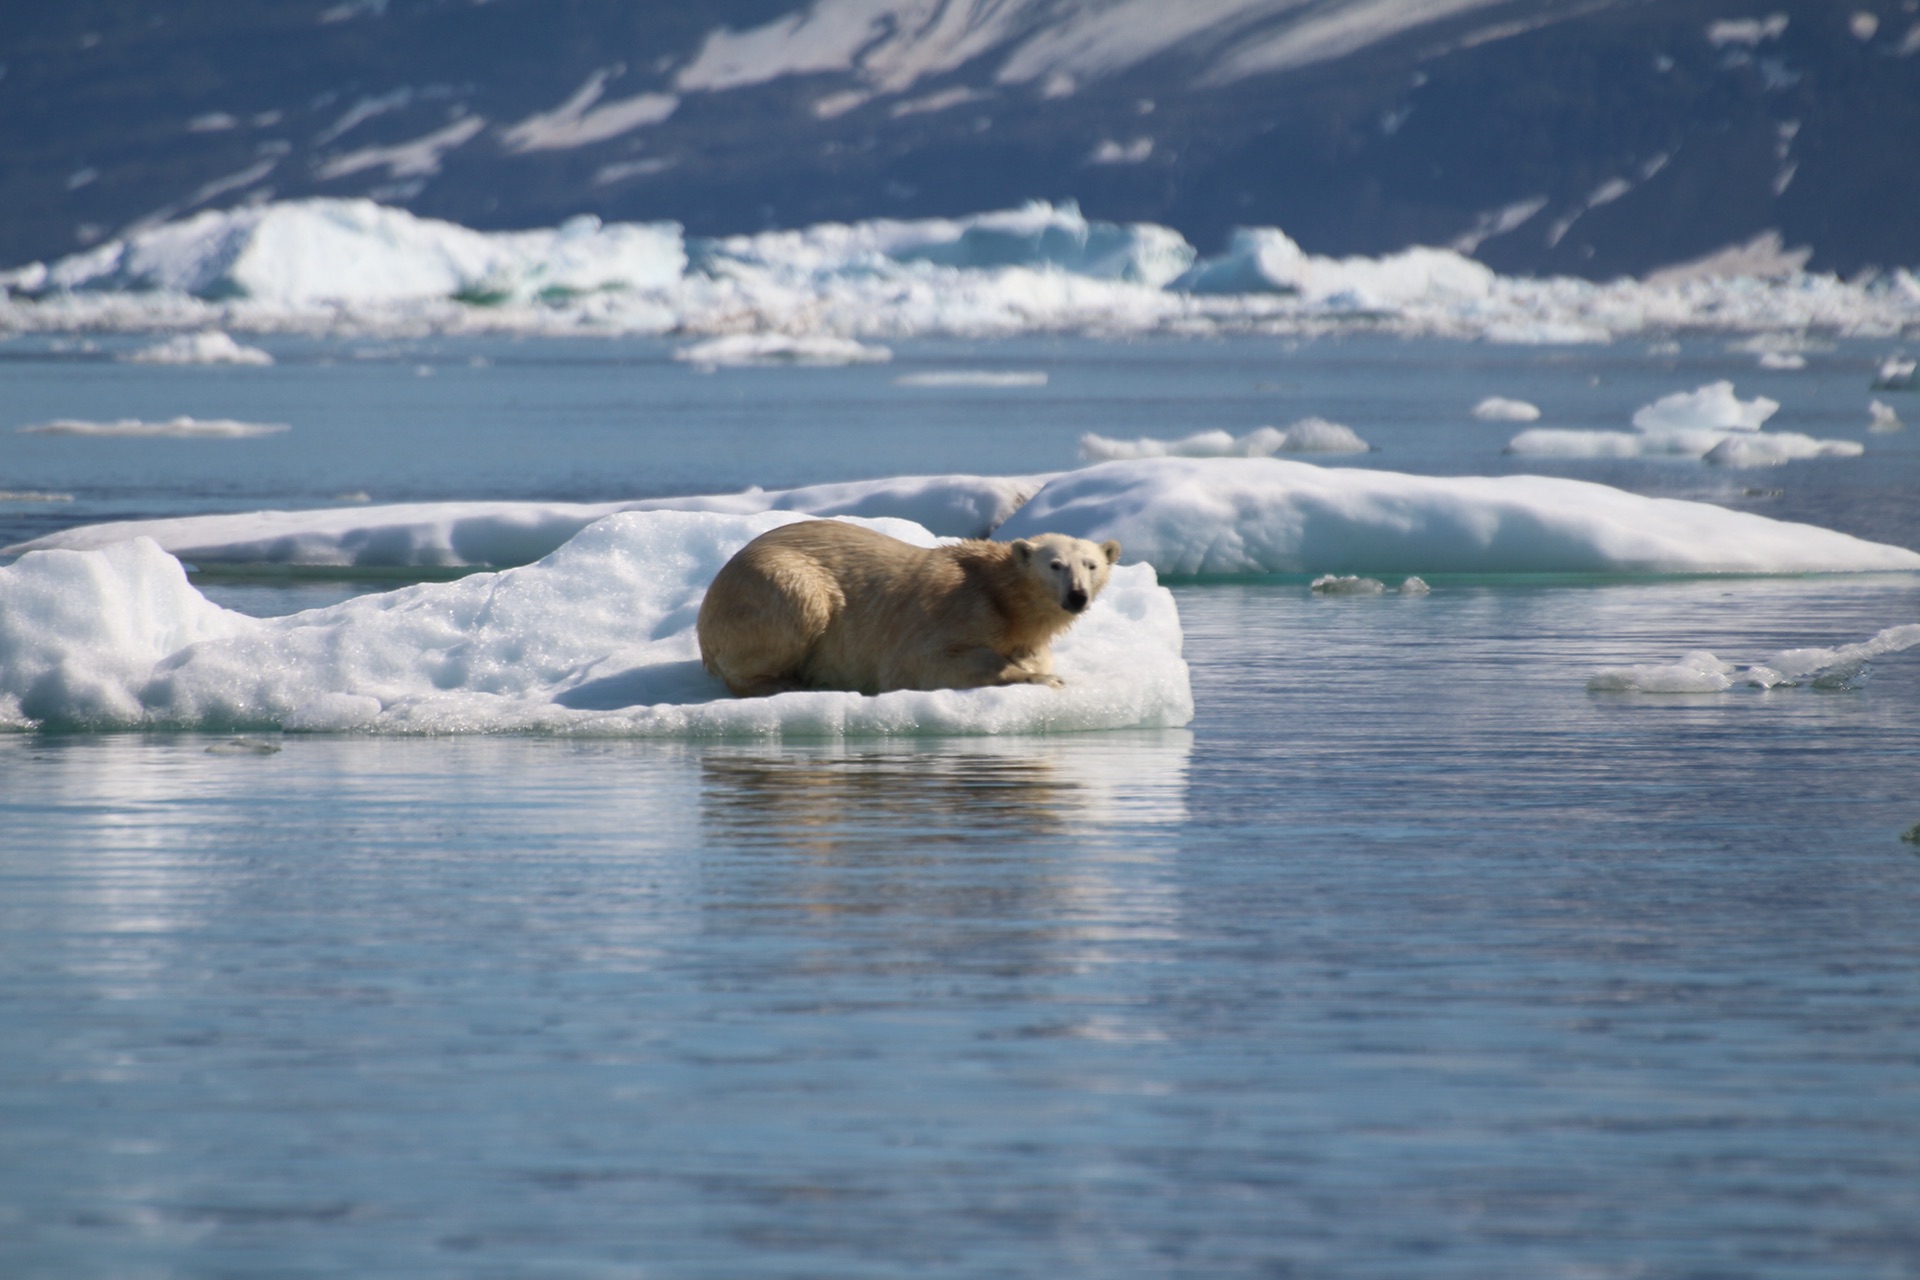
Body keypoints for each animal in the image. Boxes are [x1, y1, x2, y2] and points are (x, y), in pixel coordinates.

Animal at [702, 521, 1121, 702]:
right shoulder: (948, 610)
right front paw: (1045, 678)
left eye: (1091, 565)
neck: (999, 593)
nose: (1077, 596)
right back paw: (786, 683)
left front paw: (1036, 665)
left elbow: (1035, 653)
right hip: (775, 583)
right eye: (1055, 565)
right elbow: (927, 662)